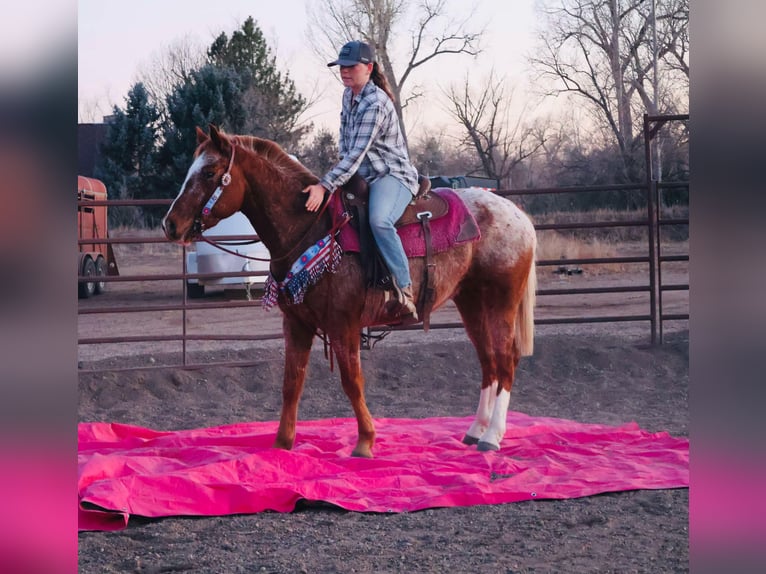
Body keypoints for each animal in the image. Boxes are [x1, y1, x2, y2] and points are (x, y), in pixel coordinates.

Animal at [162, 125, 537, 458]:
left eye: (210, 172)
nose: (170, 224)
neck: (311, 228)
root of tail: (518, 215)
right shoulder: (296, 324)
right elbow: (291, 383)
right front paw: (282, 444)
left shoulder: (344, 324)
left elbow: (351, 381)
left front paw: (365, 442)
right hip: (471, 300)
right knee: (488, 362)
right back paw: (475, 431)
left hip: (501, 302)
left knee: (505, 361)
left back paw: (492, 437)